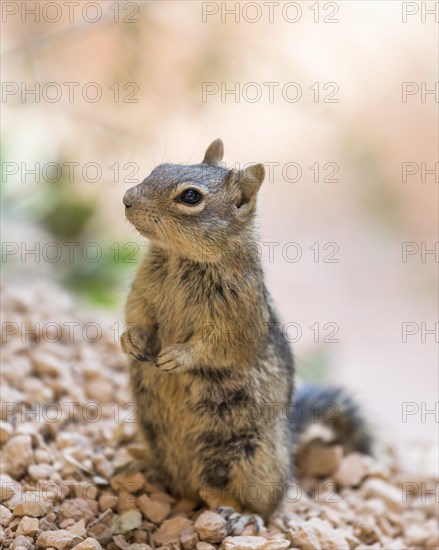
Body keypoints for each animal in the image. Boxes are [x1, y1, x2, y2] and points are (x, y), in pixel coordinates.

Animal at [120, 140, 372, 532]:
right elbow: (136, 316)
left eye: (190, 197)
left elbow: (216, 346)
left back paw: (239, 515)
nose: (127, 199)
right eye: (159, 168)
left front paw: (176, 357)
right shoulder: (143, 292)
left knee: (263, 506)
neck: (179, 259)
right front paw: (130, 341)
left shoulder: (237, 319)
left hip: (253, 462)